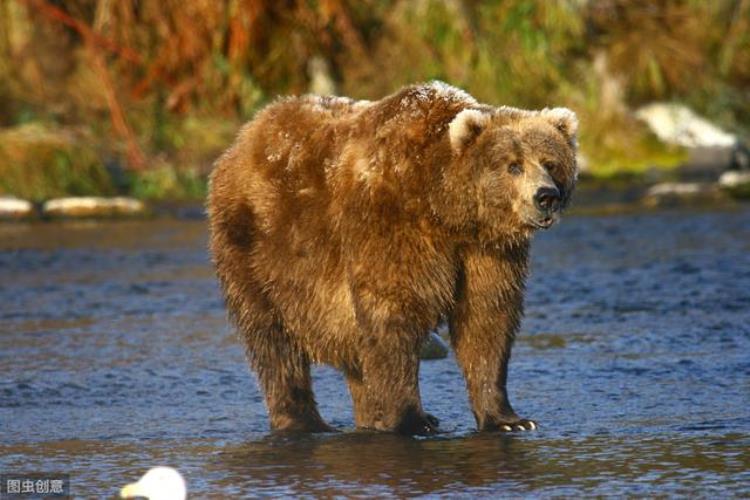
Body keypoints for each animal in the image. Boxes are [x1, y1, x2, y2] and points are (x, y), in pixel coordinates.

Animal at [209, 81, 580, 434]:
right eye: (513, 165)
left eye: (550, 163)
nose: (546, 196)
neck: (447, 210)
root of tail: (245, 136)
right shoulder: (391, 223)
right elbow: (393, 312)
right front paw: (412, 419)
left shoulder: (487, 252)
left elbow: (486, 319)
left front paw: (509, 419)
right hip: (257, 249)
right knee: (273, 339)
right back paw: (304, 420)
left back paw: (369, 416)